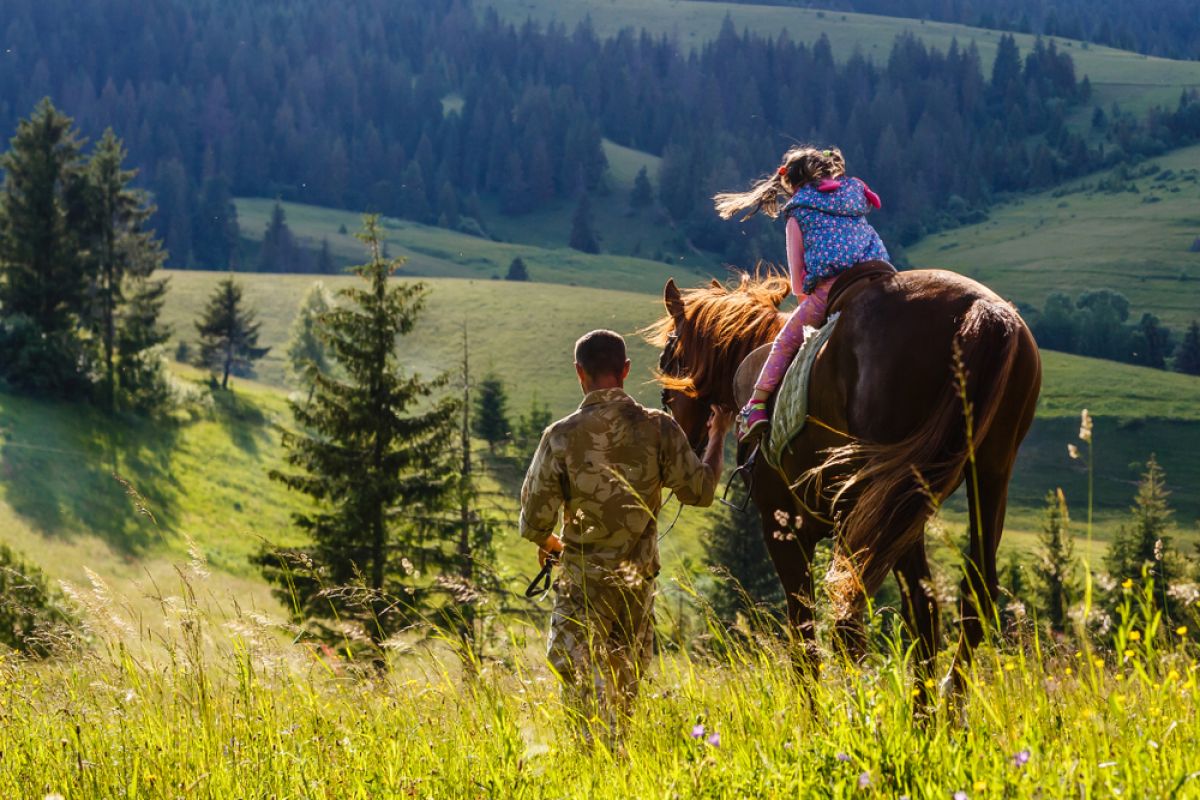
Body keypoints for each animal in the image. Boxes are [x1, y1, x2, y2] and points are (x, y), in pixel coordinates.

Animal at [648, 266, 1041, 695]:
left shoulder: (784, 528)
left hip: (890, 499)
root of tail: (980, 310)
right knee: (961, 598)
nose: (680, 433)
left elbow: (805, 635)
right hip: (982, 476)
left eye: (669, 357)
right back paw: (943, 704)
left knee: (871, 613)